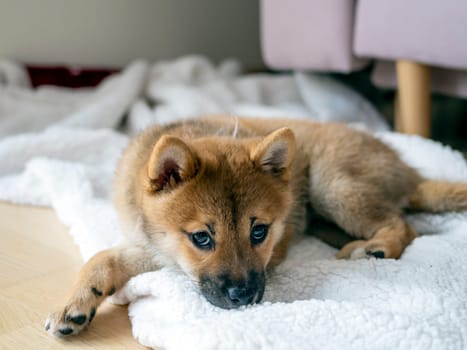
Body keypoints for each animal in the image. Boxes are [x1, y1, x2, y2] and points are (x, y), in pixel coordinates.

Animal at [45, 116, 467, 338]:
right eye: (202, 237)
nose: (244, 297)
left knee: (403, 225)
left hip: (334, 185)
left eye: (259, 232)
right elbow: (102, 260)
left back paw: (376, 247)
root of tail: (409, 173)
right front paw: (76, 303)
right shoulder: (153, 248)